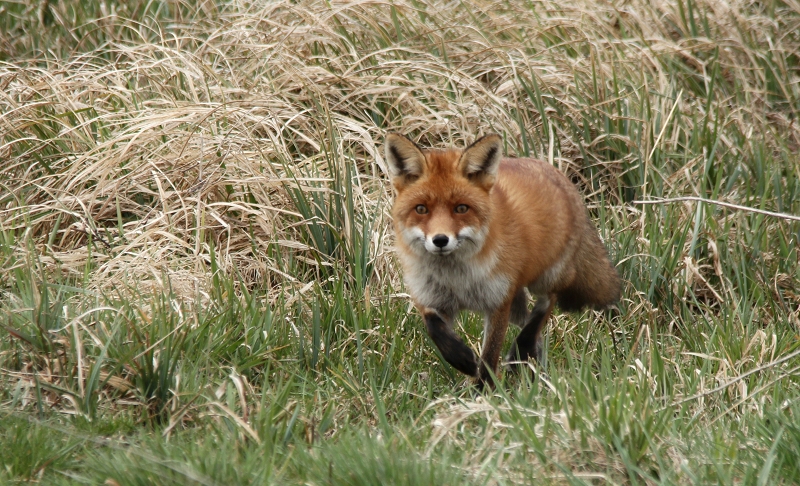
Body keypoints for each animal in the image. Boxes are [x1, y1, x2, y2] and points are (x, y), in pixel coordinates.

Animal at [384, 131, 620, 390]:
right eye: (421, 209)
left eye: (461, 208)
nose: (440, 240)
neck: (457, 279)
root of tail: (557, 173)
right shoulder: (433, 299)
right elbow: (434, 329)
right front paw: (461, 358)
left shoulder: (497, 301)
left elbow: (490, 354)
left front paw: (482, 391)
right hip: (516, 297)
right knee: (530, 323)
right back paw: (532, 360)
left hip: (545, 278)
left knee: (546, 305)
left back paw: (522, 351)